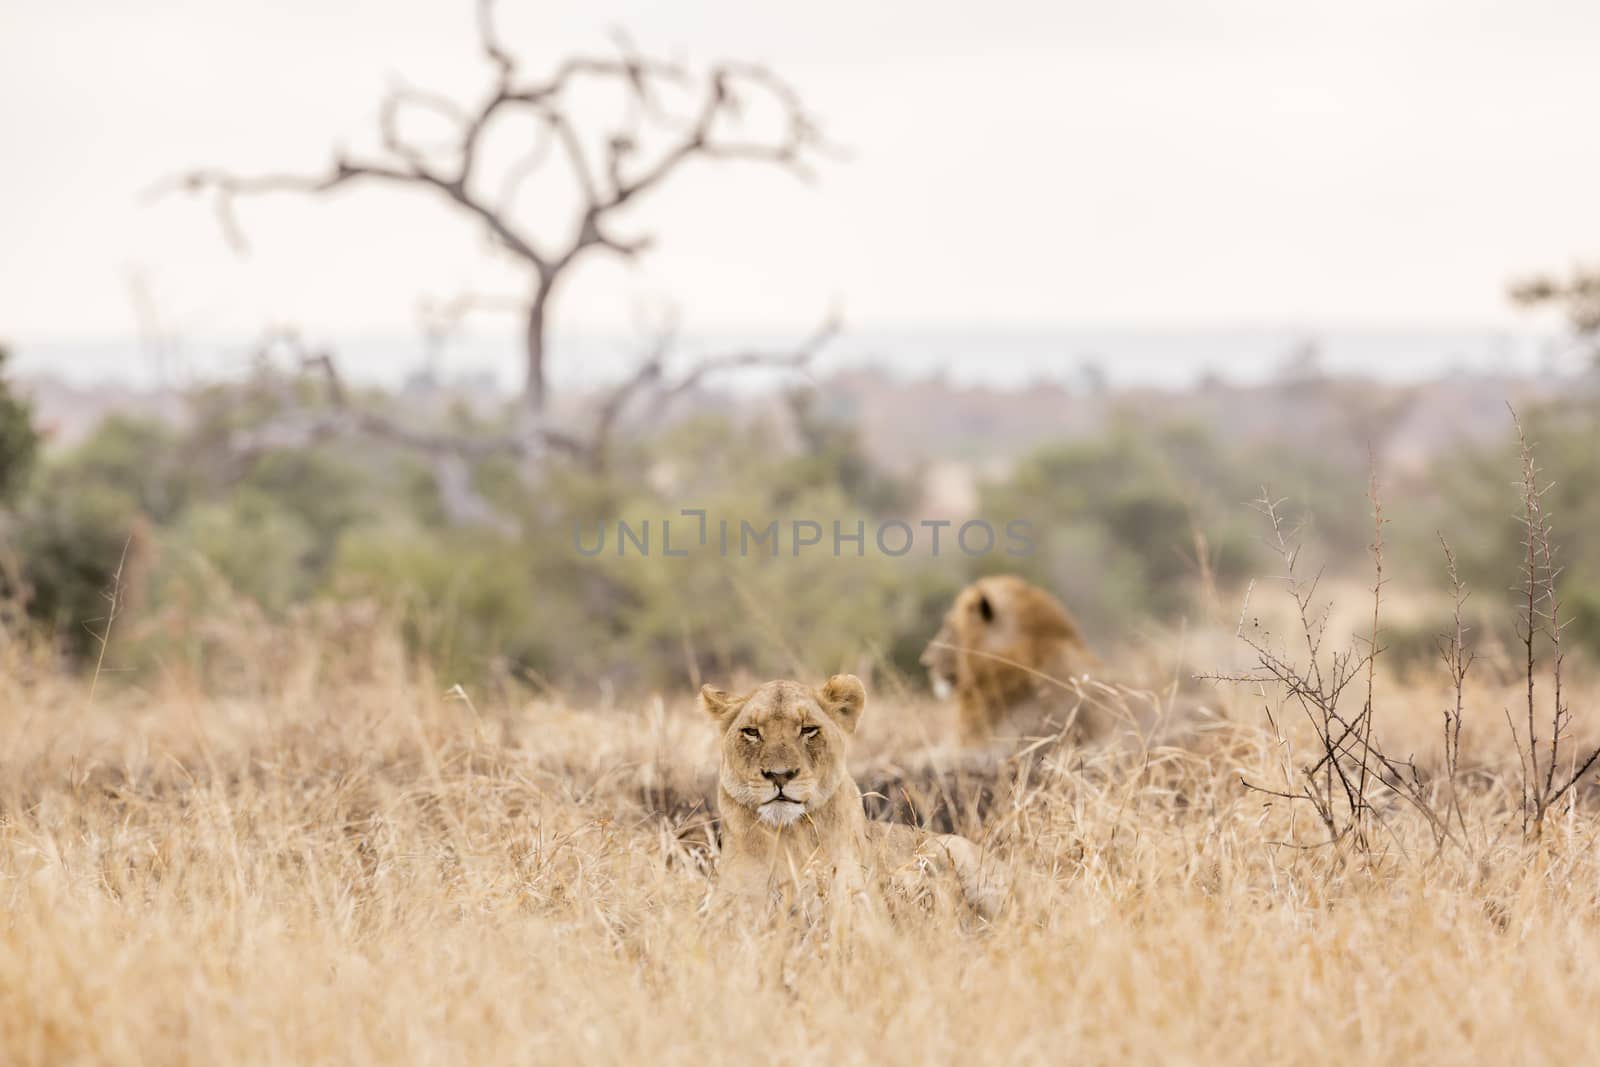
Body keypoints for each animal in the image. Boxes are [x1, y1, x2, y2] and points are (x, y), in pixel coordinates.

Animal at [700, 675, 998, 921]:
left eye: (808, 729)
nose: (780, 775)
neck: (789, 836)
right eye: (752, 732)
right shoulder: (731, 906)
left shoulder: (858, 902)